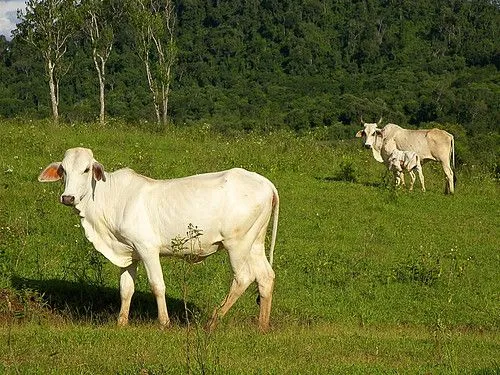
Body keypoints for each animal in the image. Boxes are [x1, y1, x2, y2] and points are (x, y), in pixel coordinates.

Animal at [38, 147, 282, 332]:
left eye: (86, 169)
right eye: (63, 170)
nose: (68, 197)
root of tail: (264, 182)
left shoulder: (147, 248)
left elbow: (157, 285)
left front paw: (164, 322)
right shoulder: (129, 253)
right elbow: (126, 289)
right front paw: (121, 322)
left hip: (237, 244)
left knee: (244, 277)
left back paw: (213, 320)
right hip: (255, 242)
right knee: (265, 276)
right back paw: (262, 325)